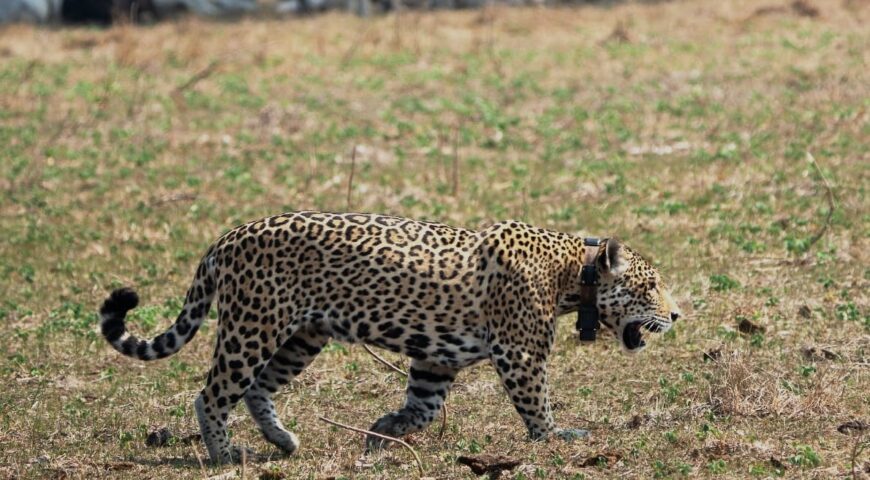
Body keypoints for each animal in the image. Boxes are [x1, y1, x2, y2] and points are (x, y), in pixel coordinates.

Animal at [99, 211, 681, 464]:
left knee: (258, 389)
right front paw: (555, 438)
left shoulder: (437, 359)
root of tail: (226, 238)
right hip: (252, 328)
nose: (676, 315)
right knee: (213, 394)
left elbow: (422, 407)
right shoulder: (519, 352)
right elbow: (536, 402)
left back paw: (283, 441)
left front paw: (382, 431)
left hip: (301, 336)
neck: (571, 272)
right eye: (650, 286)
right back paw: (224, 455)